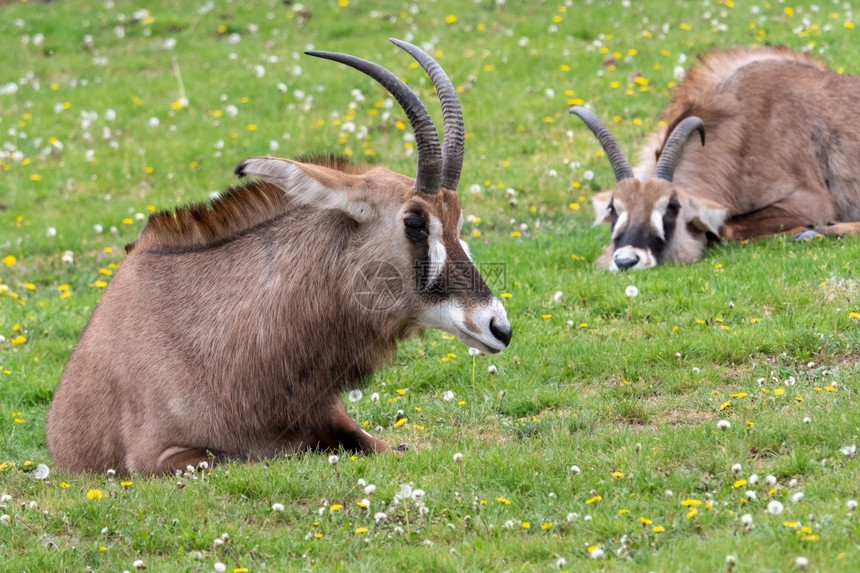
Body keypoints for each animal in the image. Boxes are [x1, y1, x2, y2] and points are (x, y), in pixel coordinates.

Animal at [572, 45, 860, 270]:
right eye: (613, 207)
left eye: (671, 206)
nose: (626, 260)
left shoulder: (811, 203)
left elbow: (726, 228)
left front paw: (807, 230)